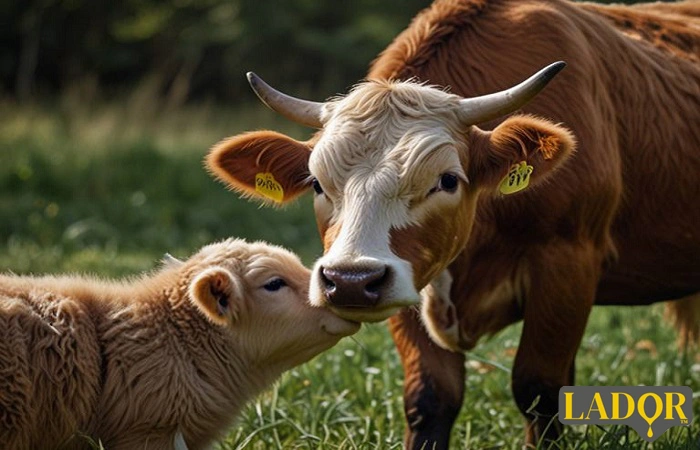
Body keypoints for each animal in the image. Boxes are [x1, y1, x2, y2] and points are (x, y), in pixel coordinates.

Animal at [206, 0, 700, 447]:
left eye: (446, 180)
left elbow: (539, 390)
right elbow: (430, 398)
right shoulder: (408, 282)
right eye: (316, 183)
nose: (349, 280)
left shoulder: (568, 263)